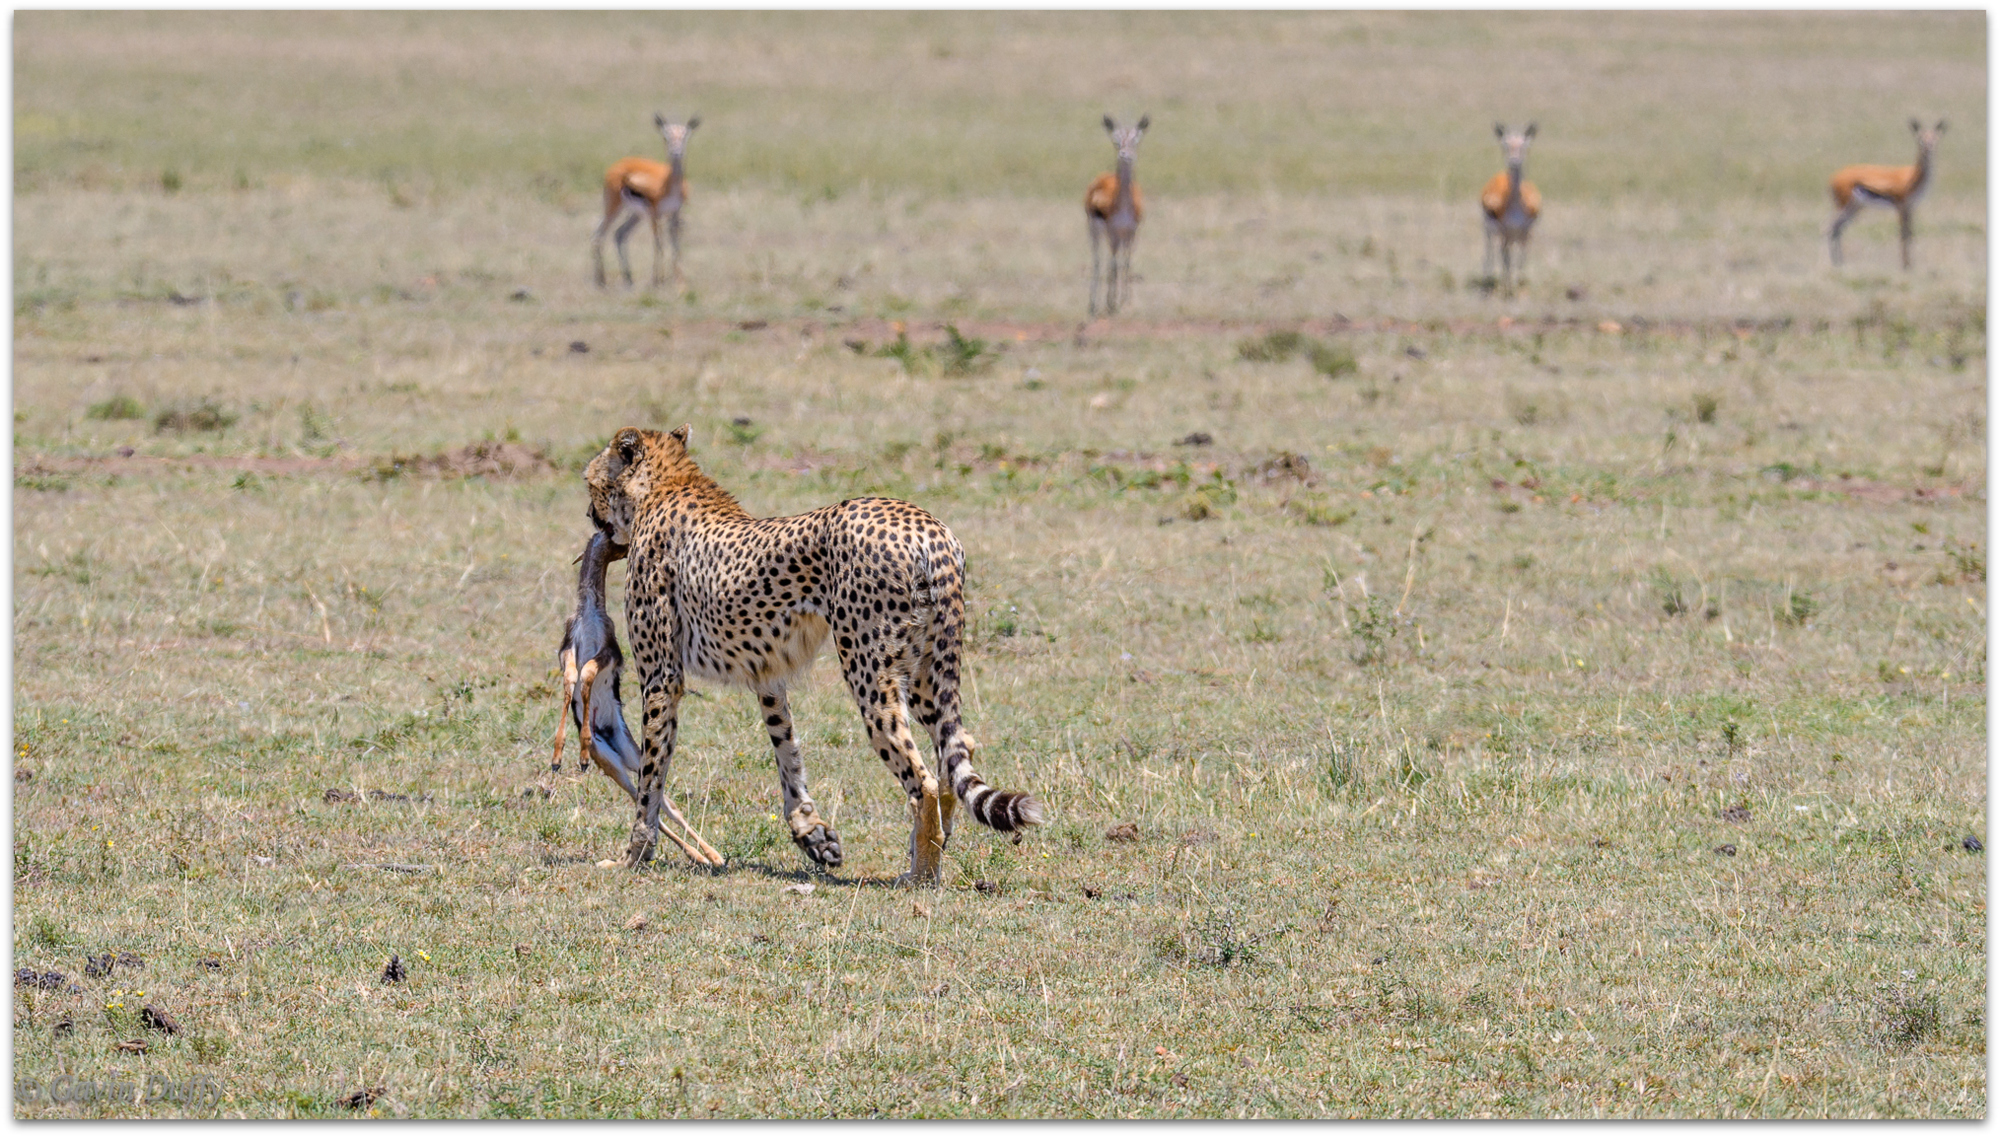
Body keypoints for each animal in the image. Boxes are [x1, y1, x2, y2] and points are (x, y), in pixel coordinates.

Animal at [552, 528, 724, 864]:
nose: (628, 547)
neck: (589, 611)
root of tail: (612, 737)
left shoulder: (608, 654)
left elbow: (587, 675)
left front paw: (579, 748)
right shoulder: (567, 652)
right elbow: (572, 681)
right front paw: (559, 755)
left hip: (634, 757)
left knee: (667, 806)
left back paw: (711, 856)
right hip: (614, 766)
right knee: (643, 802)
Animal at [584, 424, 1040, 880]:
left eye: (589, 483)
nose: (590, 517)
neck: (666, 486)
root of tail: (925, 525)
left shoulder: (661, 679)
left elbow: (651, 776)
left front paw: (633, 855)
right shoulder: (767, 674)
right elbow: (786, 748)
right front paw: (813, 835)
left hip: (868, 670)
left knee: (922, 778)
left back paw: (921, 876)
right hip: (926, 670)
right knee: (957, 748)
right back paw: (927, 857)